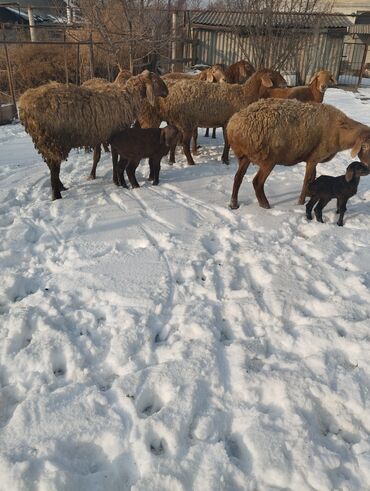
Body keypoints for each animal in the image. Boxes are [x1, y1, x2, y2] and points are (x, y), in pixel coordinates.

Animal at [18, 69, 166, 200]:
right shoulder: (117, 134)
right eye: (156, 80)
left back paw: (61, 187)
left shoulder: (112, 136)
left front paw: (116, 181)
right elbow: (114, 159)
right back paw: (57, 195)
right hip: (53, 140)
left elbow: (113, 158)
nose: (167, 92)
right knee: (54, 168)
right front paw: (118, 181)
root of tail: (24, 104)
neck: (128, 98)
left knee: (51, 166)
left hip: (44, 142)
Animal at [138, 67, 286, 168]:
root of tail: (170, 98)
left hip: (177, 121)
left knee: (174, 141)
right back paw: (191, 162)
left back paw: (171, 160)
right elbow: (227, 143)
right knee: (185, 144)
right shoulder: (227, 122)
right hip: (187, 121)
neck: (245, 94)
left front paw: (224, 159)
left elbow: (227, 142)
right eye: (272, 75)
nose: (285, 84)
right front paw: (225, 160)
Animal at [227, 98, 370, 209]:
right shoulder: (314, 158)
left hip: (245, 156)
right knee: (257, 182)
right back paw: (265, 205)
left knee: (238, 177)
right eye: (365, 146)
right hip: (267, 158)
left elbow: (313, 178)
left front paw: (309, 195)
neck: (340, 132)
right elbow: (307, 180)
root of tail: (233, 126)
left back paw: (234, 204)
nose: (368, 166)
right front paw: (300, 203)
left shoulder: (313, 159)